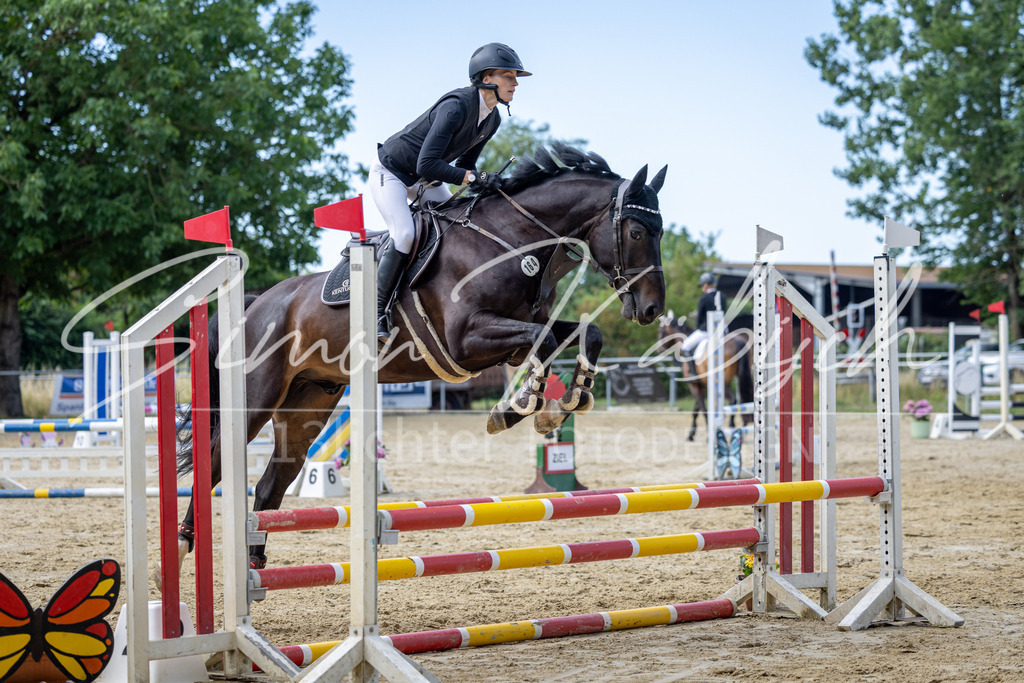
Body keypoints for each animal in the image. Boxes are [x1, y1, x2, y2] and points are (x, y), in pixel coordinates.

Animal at [174, 144, 669, 569]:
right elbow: (544, 345)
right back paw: (181, 550)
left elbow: (587, 334)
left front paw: (570, 398)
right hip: (256, 398)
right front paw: (520, 408)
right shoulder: (466, 340)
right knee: (215, 462)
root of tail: (256, 303)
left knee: (270, 484)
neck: (509, 239)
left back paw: (256, 564)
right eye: (637, 231)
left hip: (308, 403)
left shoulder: (515, 334)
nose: (651, 309)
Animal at [657, 312, 753, 441]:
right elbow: (696, 409)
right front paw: (691, 434)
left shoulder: (694, 386)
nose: (658, 349)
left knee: (732, 399)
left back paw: (731, 426)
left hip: (724, 382)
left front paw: (706, 434)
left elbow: (702, 409)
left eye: (660, 330)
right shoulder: (701, 386)